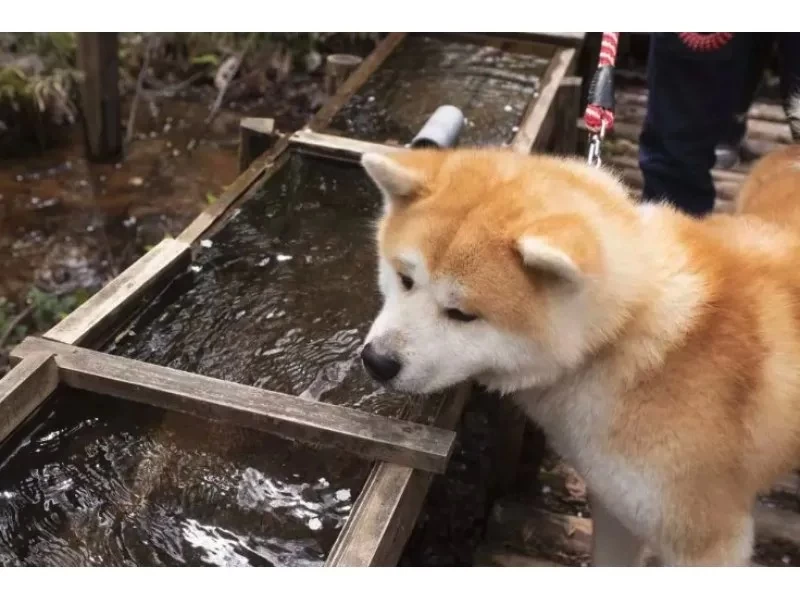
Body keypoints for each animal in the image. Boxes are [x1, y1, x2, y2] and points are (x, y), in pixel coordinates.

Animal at [360, 138, 800, 568]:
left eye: (462, 314)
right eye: (405, 279)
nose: (376, 361)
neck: (624, 338)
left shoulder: (707, 541)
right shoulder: (617, 506)